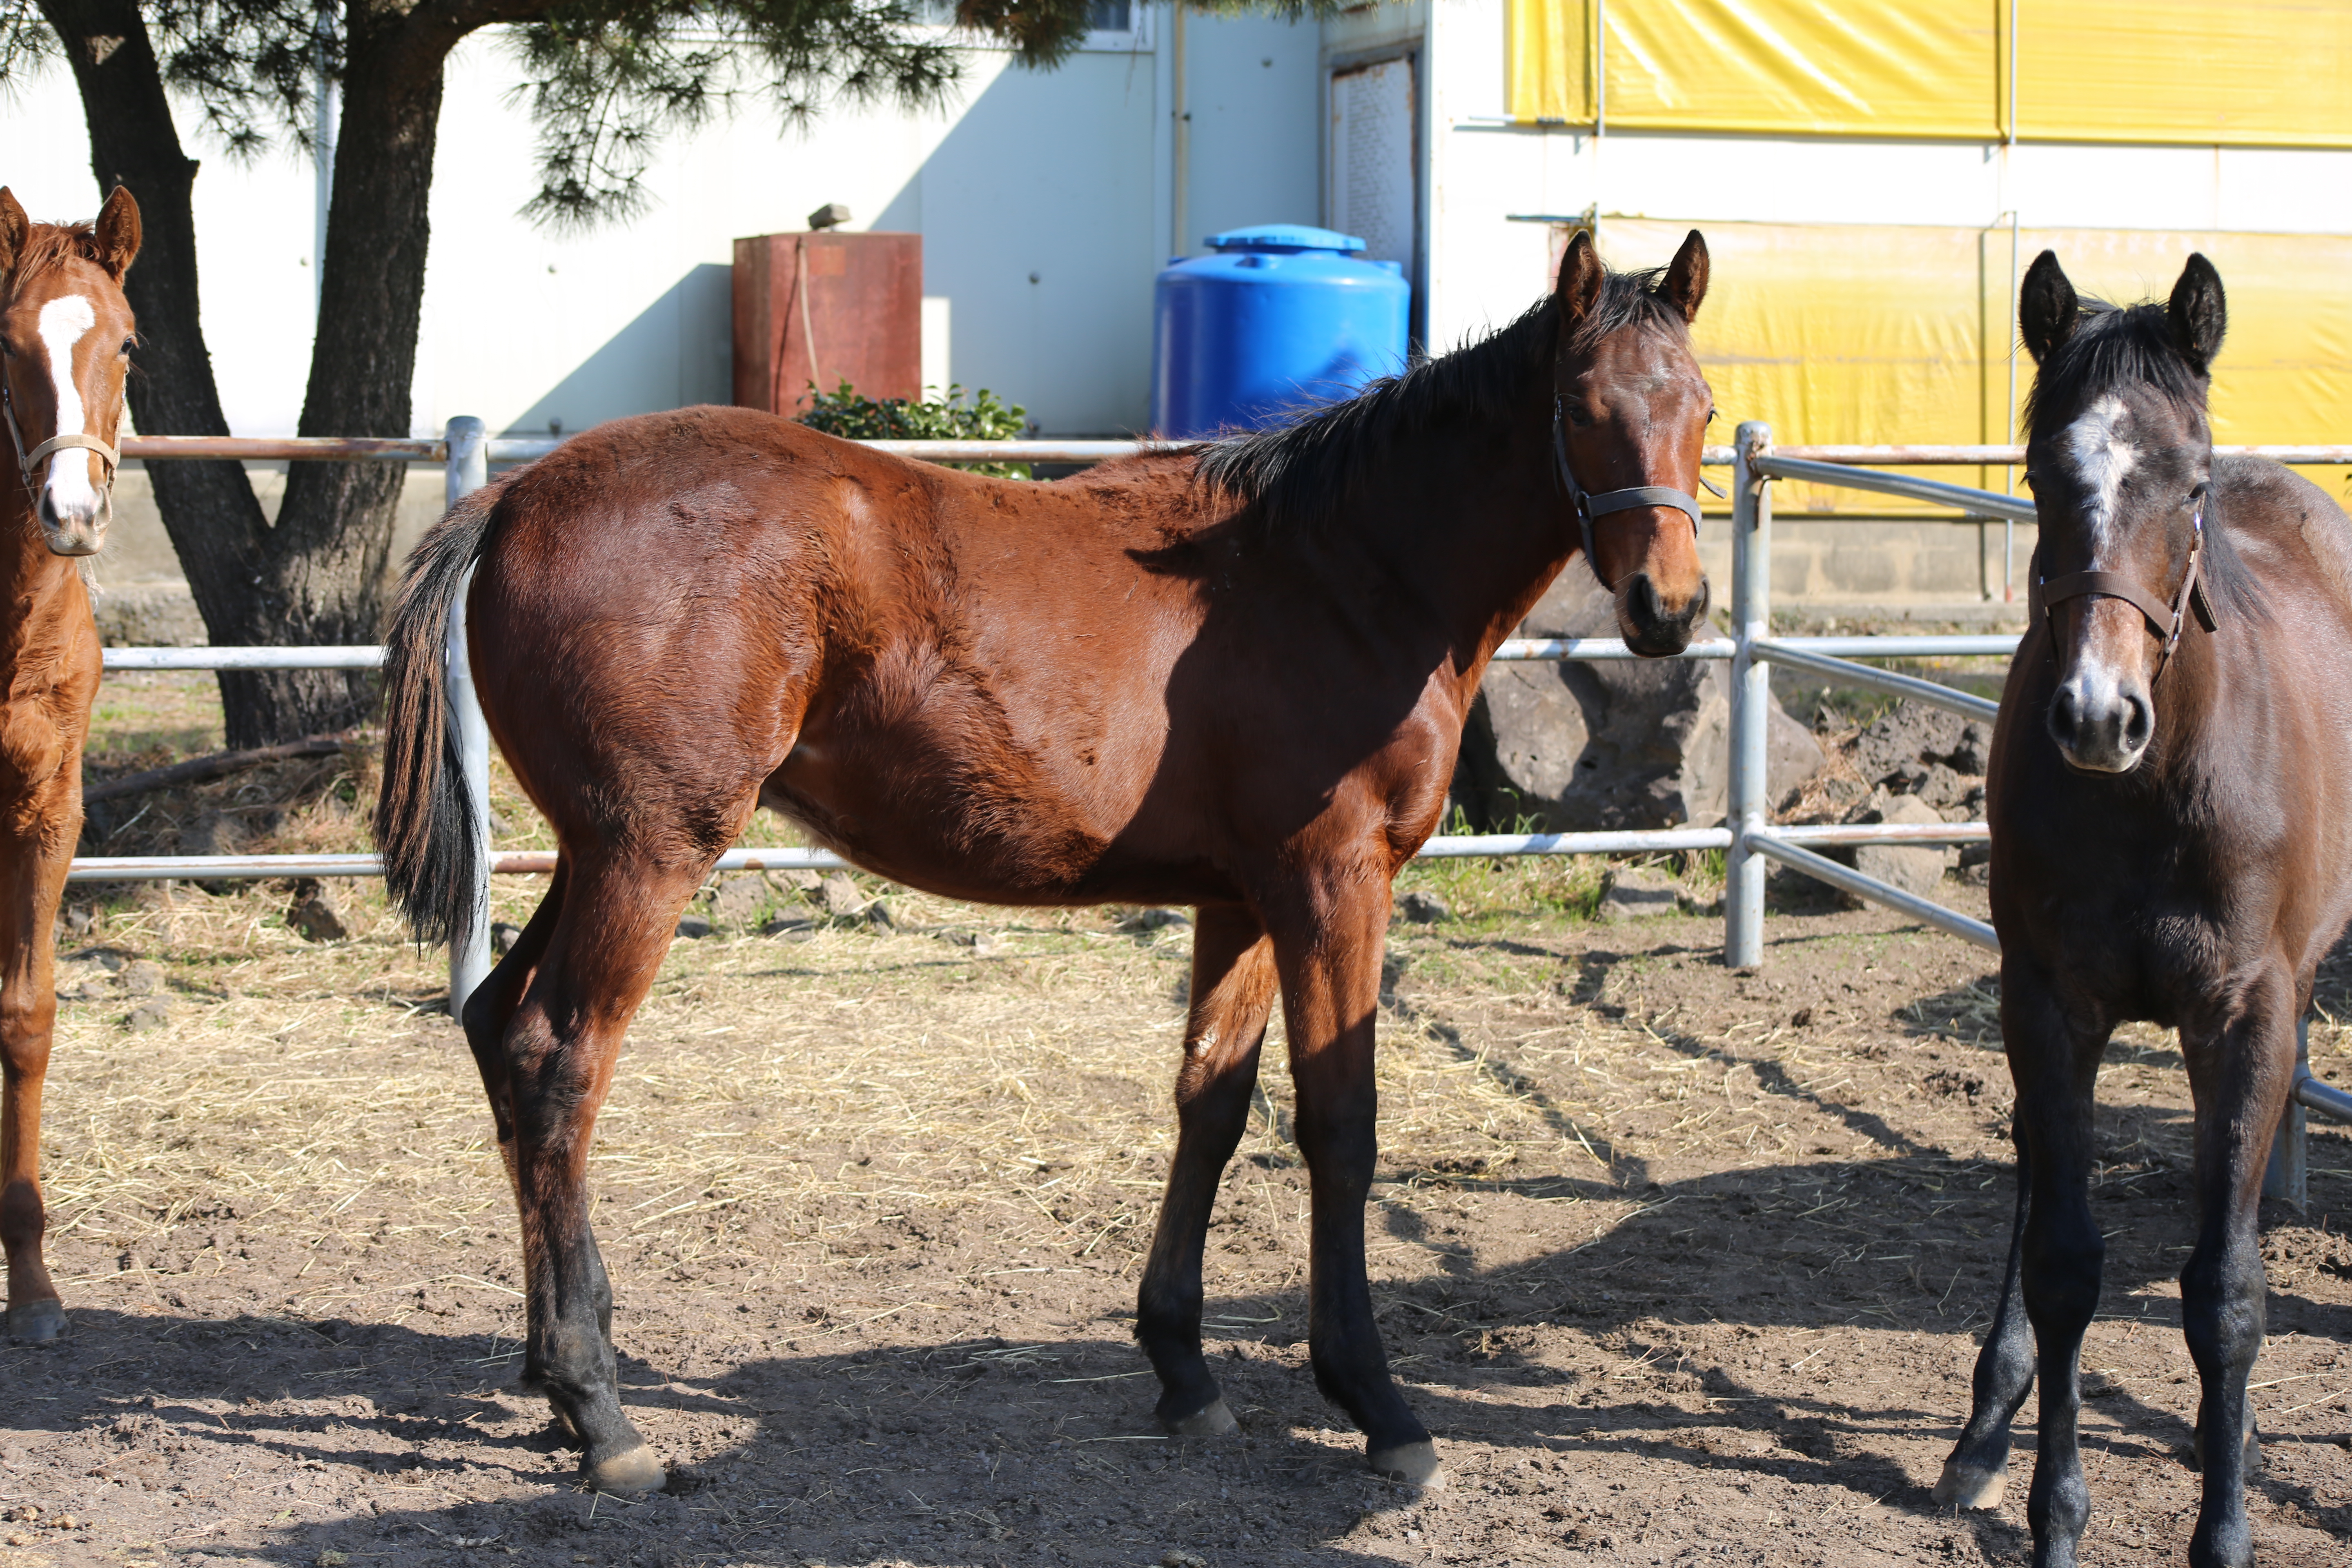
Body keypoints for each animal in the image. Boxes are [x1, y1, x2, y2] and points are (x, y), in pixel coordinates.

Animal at [376, 227, 1722, 1495]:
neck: (1339, 571)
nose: (1669, 608)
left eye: (1702, 408)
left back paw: (556, 1377)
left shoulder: (1241, 898)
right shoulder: (1332, 883)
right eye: (1583, 407)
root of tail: (516, 500)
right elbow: (1341, 1123)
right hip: (649, 854)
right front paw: (1378, 1404)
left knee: (496, 1026)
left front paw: (1183, 1368)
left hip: (595, 849)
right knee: (558, 1060)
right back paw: (603, 1415)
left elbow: (1211, 1102)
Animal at [1929, 252, 2352, 1561]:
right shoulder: (2046, 1003)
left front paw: (2224, 1526)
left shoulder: (2246, 1014)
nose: (2095, 715)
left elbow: (2225, 1293)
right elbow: (2066, 1261)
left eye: (2191, 483)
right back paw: (1983, 1426)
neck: (2158, 789)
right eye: (2037, 473)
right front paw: (2053, 1513)